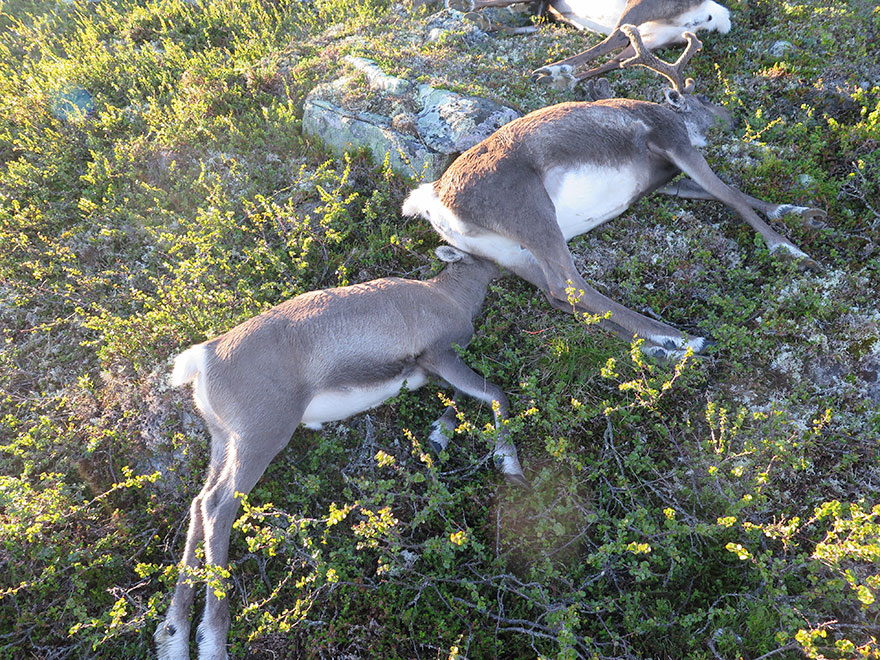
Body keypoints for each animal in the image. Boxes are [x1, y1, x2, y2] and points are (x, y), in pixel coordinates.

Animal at [154, 245, 526, 660]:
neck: (443, 295)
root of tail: (206, 354)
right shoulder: (441, 357)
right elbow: (496, 392)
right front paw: (510, 465)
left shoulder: (432, 371)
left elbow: (462, 395)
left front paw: (438, 436)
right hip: (258, 444)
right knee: (219, 508)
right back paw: (214, 640)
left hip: (223, 442)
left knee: (199, 502)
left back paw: (173, 636)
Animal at [403, 25, 826, 361]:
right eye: (703, 98)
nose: (733, 118)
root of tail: (430, 201)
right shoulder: (672, 140)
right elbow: (730, 194)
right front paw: (789, 250)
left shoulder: (666, 178)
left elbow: (721, 194)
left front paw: (799, 212)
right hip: (532, 213)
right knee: (572, 286)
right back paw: (681, 338)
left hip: (507, 253)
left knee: (555, 293)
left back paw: (661, 350)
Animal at [445, 0, 731, 88]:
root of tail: (715, 14)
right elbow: (529, 24)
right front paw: (482, 21)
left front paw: (465, 6)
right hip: (659, 37)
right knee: (619, 59)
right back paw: (562, 78)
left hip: (640, 7)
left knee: (615, 38)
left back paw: (552, 70)